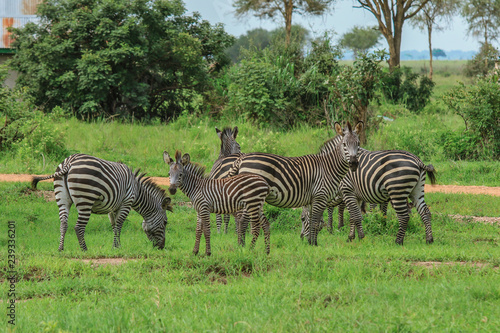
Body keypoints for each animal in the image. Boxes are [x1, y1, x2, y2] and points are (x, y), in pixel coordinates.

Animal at [31, 154, 173, 250]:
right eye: (165, 222)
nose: (162, 247)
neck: (137, 191)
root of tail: (69, 162)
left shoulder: (113, 207)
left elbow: (114, 225)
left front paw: (117, 246)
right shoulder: (126, 202)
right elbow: (119, 224)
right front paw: (116, 247)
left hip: (62, 198)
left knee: (63, 223)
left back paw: (61, 249)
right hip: (85, 199)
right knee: (79, 227)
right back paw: (85, 250)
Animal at [227, 120, 364, 245]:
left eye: (358, 144)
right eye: (344, 144)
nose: (353, 164)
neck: (328, 167)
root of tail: (242, 158)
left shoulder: (313, 199)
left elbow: (312, 221)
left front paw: (310, 242)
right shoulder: (320, 196)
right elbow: (315, 221)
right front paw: (314, 244)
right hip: (252, 195)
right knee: (243, 221)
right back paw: (242, 246)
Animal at [298, 148, 436, 244]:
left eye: (302, 219)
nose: (301, 238)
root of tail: (417, 160)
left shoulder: (347, 191)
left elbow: (355, 216)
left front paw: (360, 238)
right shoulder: (356, 195)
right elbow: (353, 217)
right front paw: (351, 237)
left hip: (397, 190)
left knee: (404, 216)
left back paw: (398, 241)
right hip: (416, 191)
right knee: (425, 212)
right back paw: (429, 239)